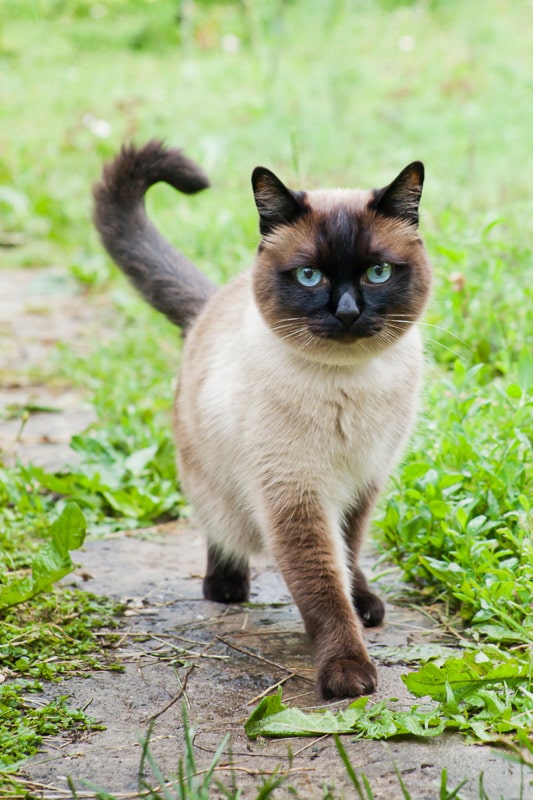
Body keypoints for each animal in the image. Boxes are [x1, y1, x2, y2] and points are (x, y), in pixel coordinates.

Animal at [93, 141, 430, 696]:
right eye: (310, 276)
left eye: (377, 273)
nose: (347, 312)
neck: (348, 385)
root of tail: (210, 303)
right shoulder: (295, 495)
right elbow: (323, 588)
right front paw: (348, 673)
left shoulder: (364, 481)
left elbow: (348, 553)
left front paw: (361, 607)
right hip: (216, 481)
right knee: (218, 530)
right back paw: (227, 587)